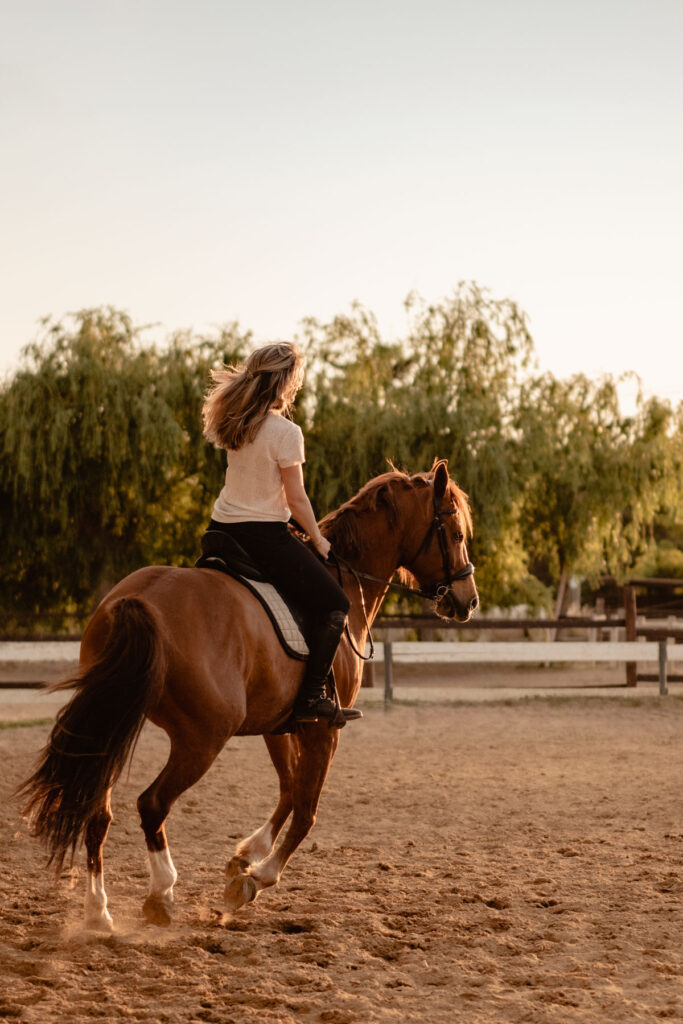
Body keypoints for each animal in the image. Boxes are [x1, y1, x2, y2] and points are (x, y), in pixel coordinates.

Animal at [19, 459, 478, 931]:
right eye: (455, 534)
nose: (468, 601)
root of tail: (137, 600)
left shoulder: (280, 724)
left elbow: (290, 789)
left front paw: (246, 856)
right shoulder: (324, 729)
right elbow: (307, 810)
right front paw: (257, 878)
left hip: (114, 719)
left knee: (98, 810)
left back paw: (99, 912)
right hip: (202, 738)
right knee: (152, 804)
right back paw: (161, 893)